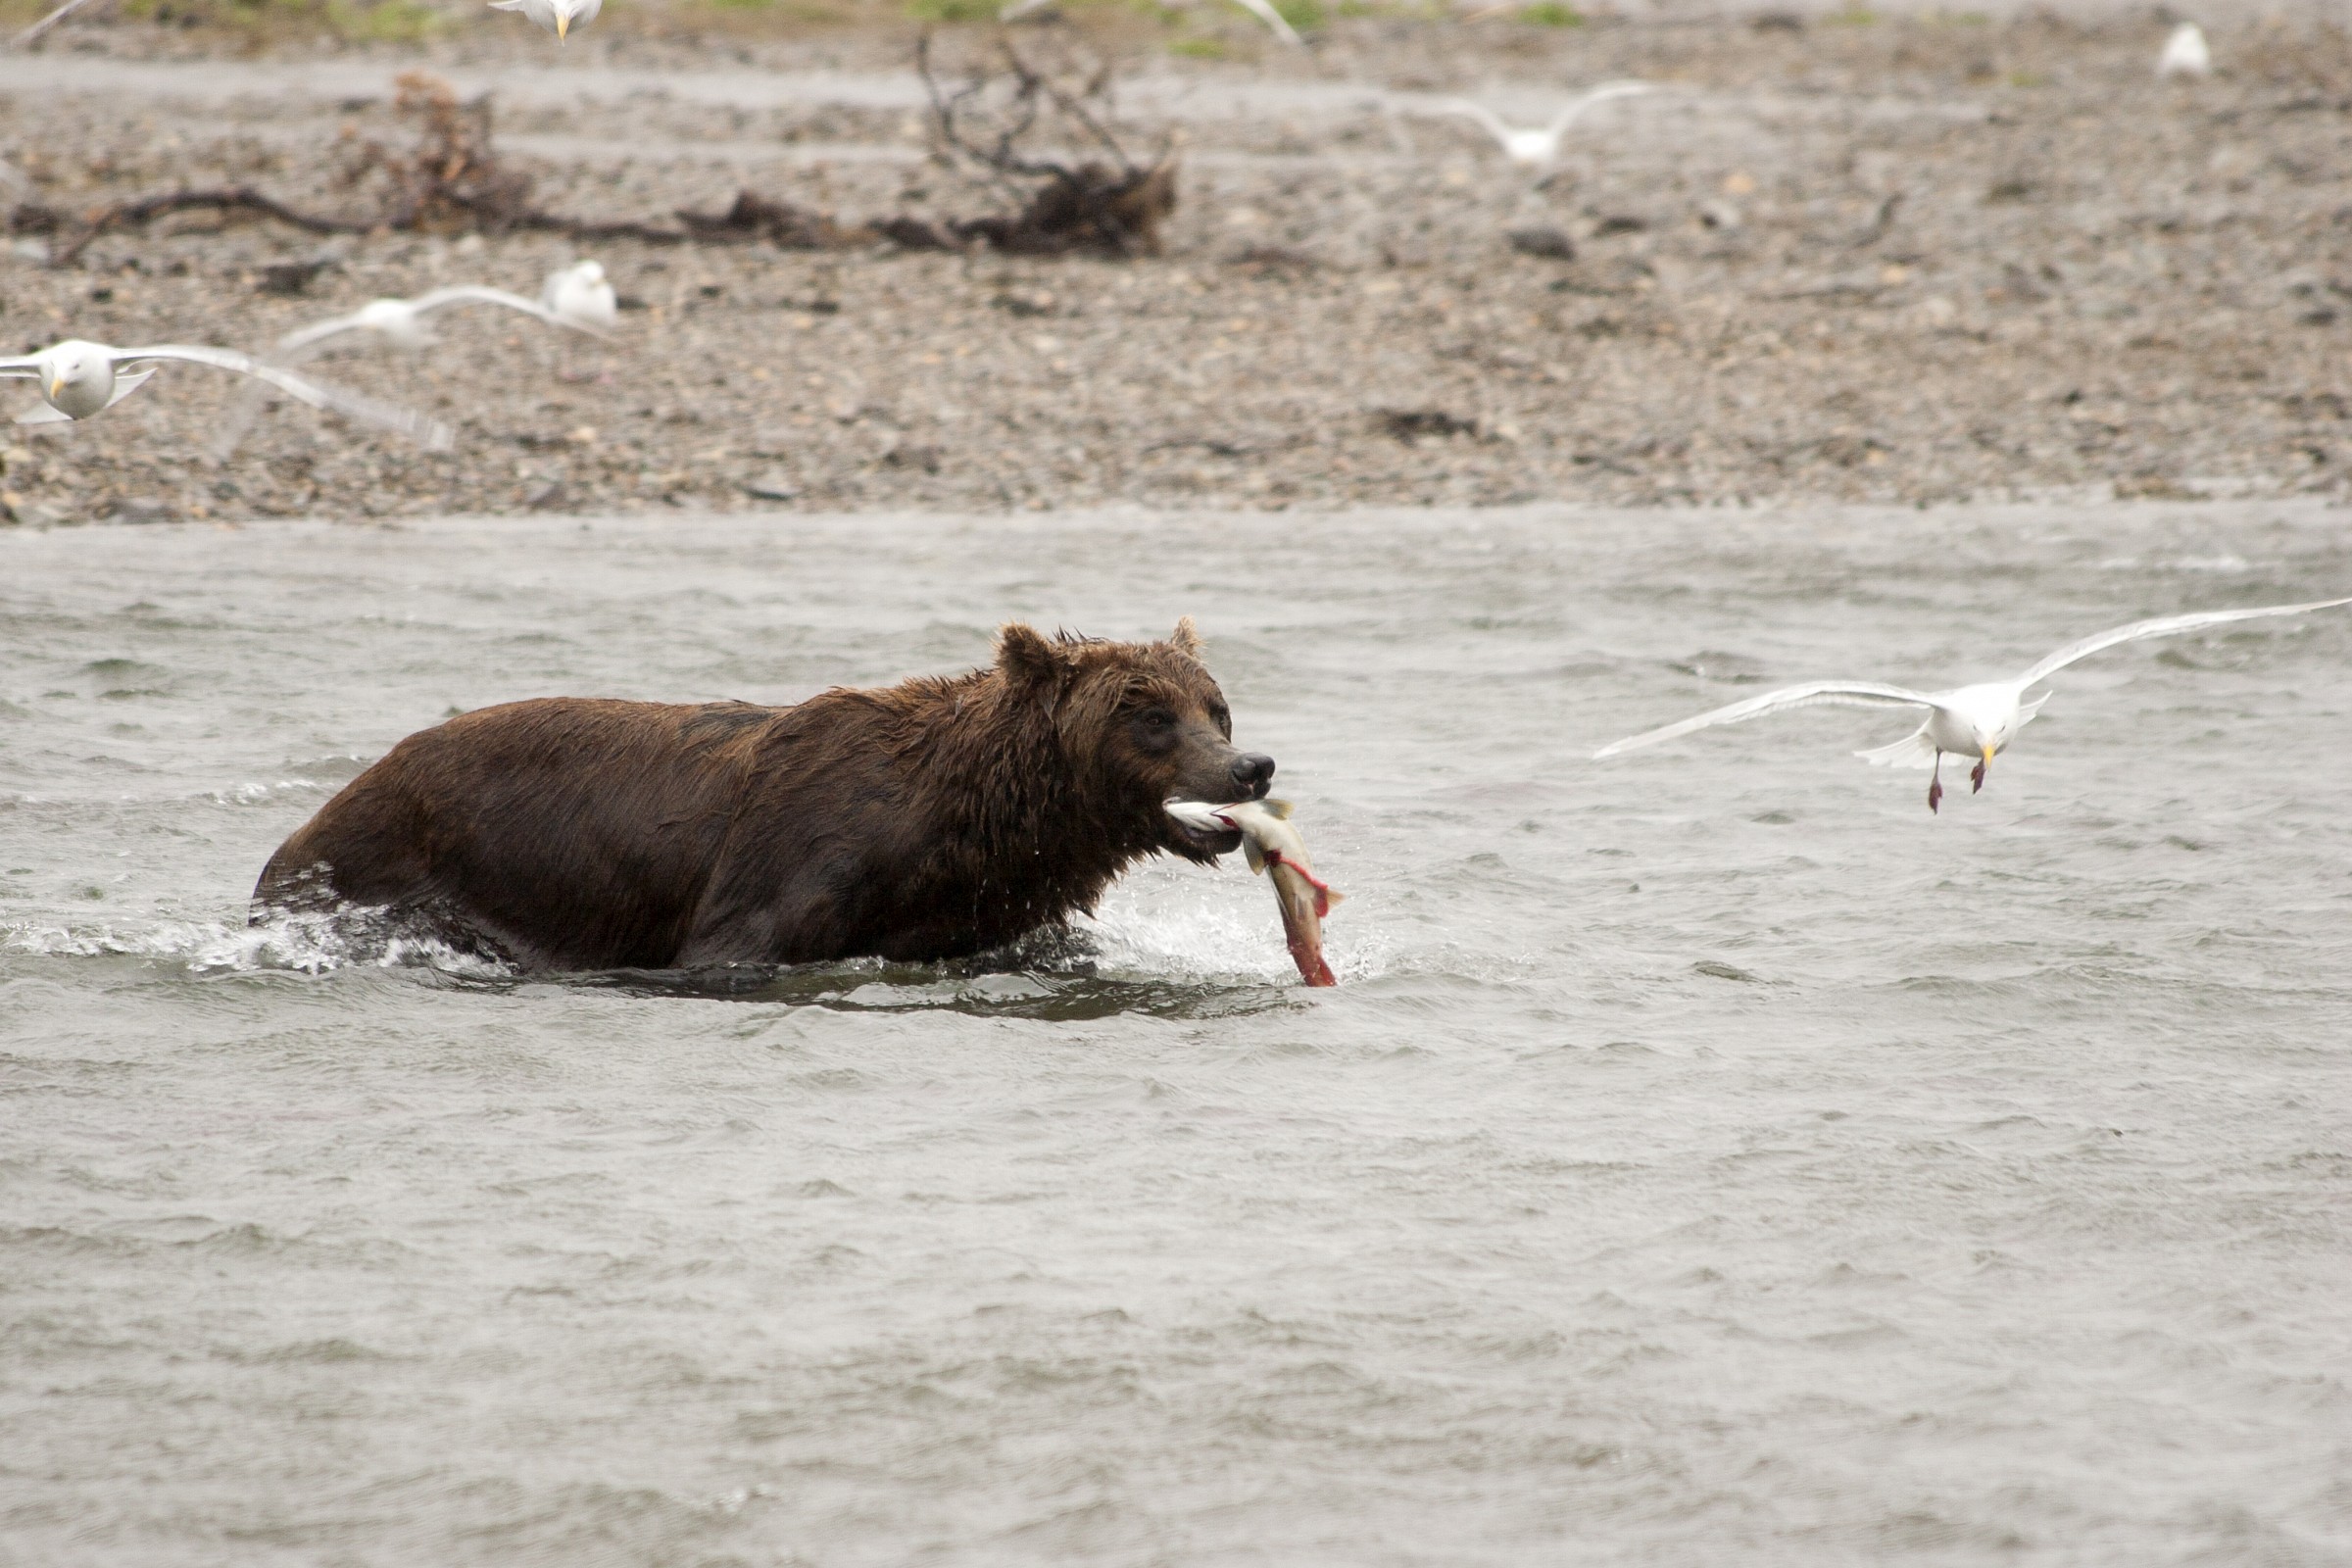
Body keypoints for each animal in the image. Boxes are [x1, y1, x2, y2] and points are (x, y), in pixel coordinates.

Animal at [250, 620, 1275, 973]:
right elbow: (734, 944)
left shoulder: (988, 906)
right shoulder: (791, 861)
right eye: (1150, 716)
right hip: (388, 865)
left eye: (1215, 706)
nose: (1249, 766)